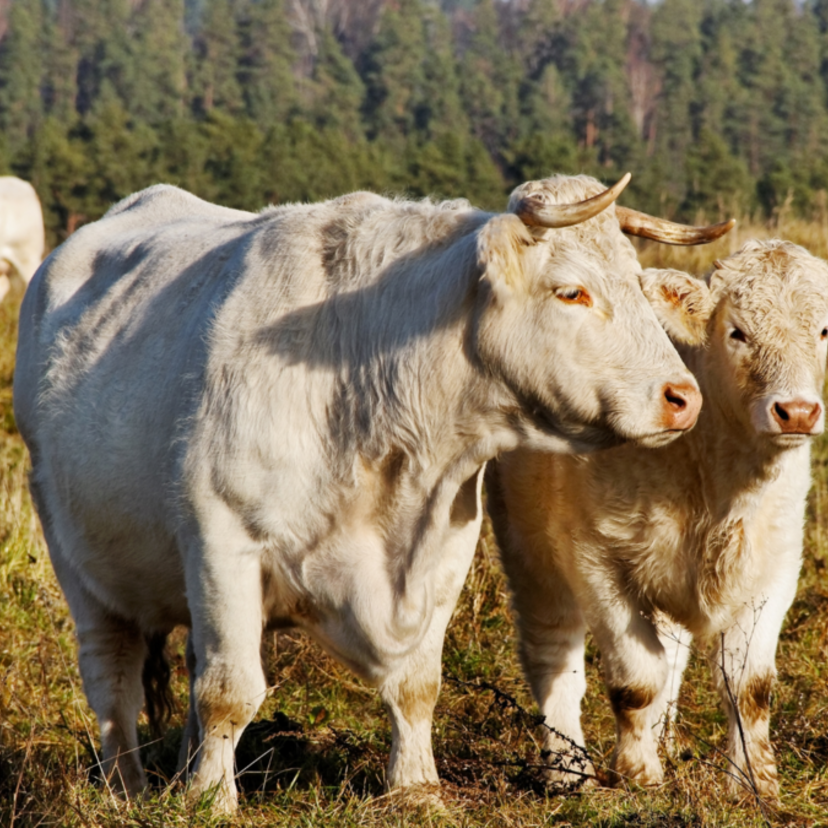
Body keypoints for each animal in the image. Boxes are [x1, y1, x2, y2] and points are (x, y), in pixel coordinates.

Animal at [14, 175, 732, 808]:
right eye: (572, 292)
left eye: (639, 284)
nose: (684, 397)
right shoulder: (222, 543)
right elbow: (229, 690)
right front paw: (212, 800)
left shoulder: (443, 549)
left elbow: (416, 684)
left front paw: (417, 790)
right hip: (80, 561)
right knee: (113, 678)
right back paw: (127, 787)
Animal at [486, 239, 828, 804]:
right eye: (737, 332)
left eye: (823, 331)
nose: (797, 411)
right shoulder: (598, 564)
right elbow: (635, 681)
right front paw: (638, 774)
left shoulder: (775, 568)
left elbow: (749, 686)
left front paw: (756, 783)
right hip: (530, 550)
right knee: (554, 656)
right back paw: (568, 772)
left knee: (671, 656)